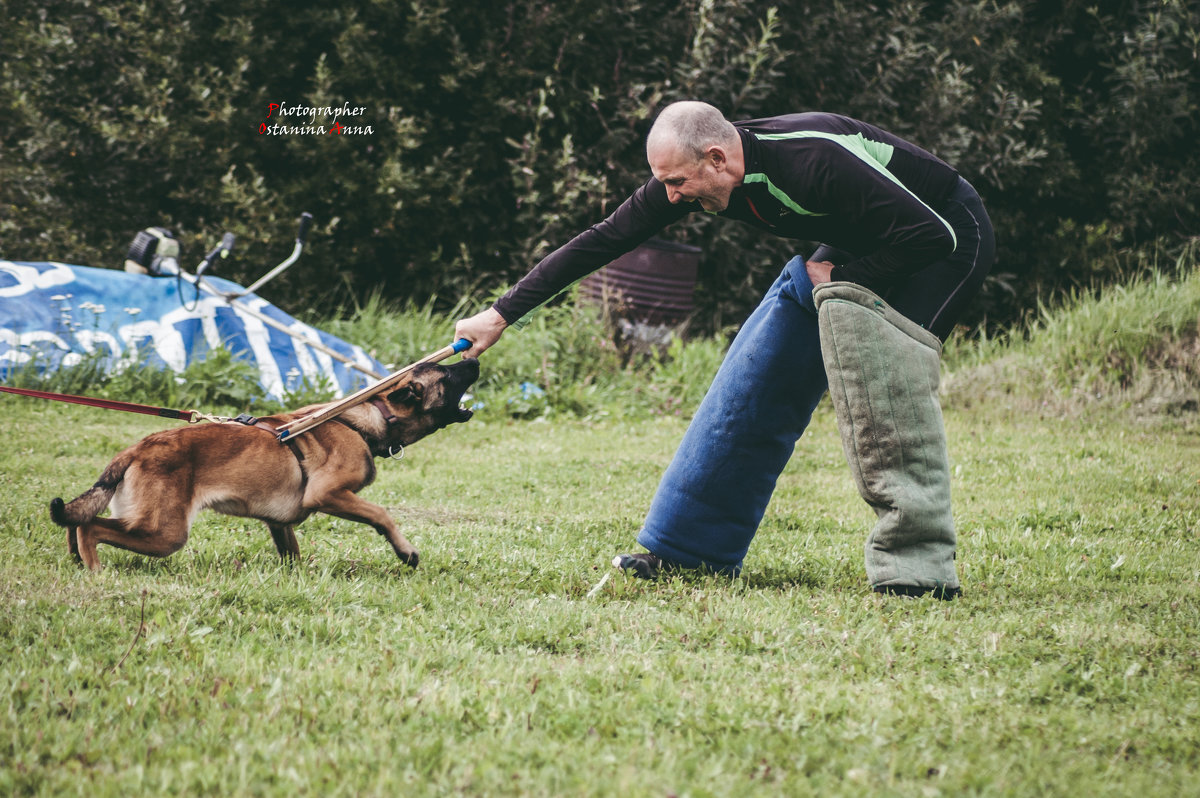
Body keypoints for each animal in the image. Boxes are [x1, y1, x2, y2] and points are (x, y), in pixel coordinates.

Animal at [48, 357, 477, 568]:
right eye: (447, 373)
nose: (473, 357)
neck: (373, 415)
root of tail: (137, 449)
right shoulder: (329, 494)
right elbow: (382, 514)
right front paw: (406, 552)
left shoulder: (279, 522)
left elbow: (292, 553)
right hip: (165, 533)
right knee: (90, 528)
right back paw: (96, 572)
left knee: (77, 522)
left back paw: (77, 562)